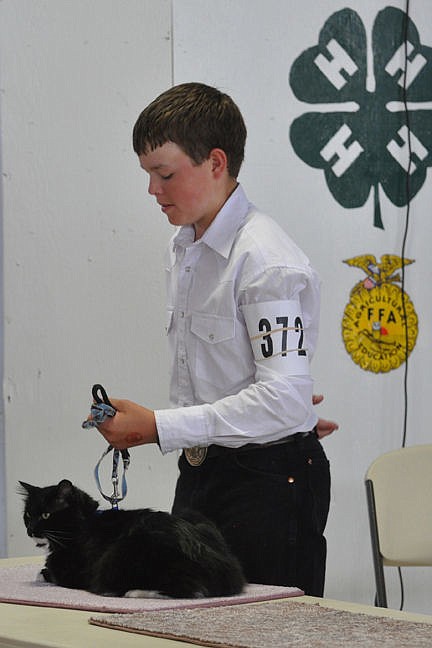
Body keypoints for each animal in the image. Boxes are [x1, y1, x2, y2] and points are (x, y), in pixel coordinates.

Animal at [18, 480, 245, 596]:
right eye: (28, 515)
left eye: (46, 515)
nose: (30, 530)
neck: (83, 523)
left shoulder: (74, 572)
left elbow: (50, 573)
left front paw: (42, 572)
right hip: (197, 517)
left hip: (119, 554)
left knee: (190, 590)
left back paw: (134, 592)